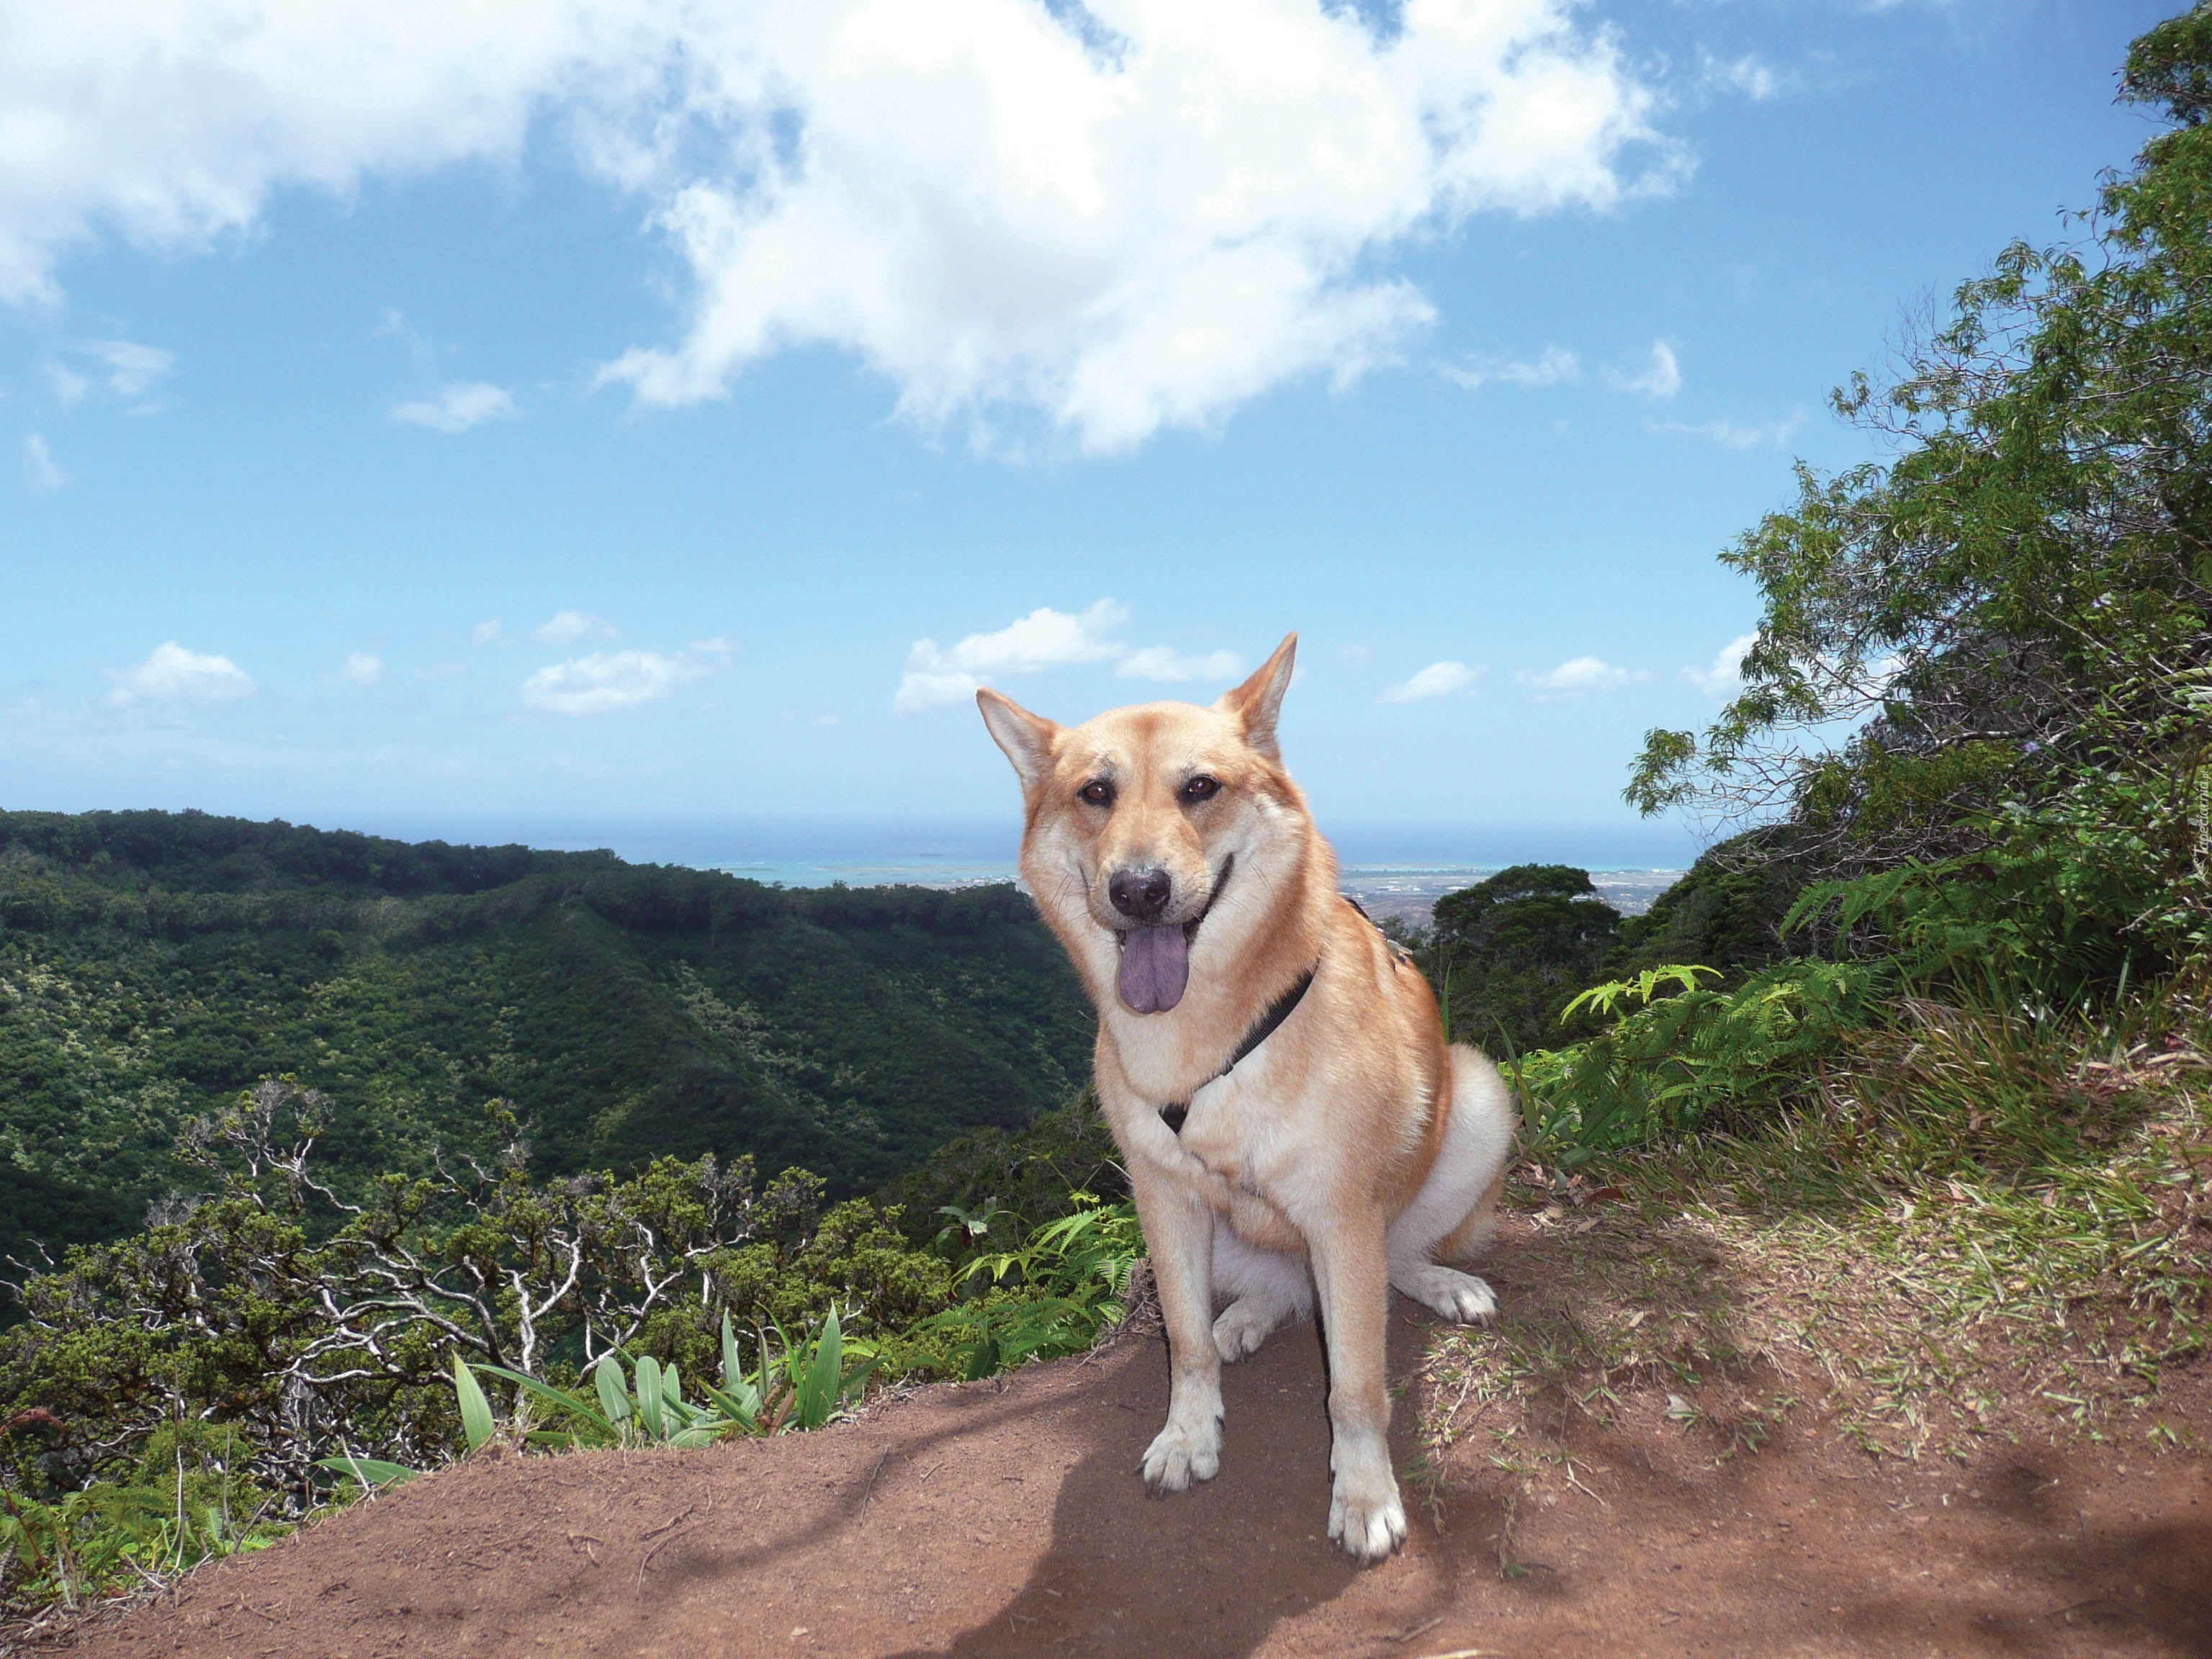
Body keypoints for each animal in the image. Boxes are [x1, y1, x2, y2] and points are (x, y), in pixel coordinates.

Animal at [986, 632, 1521, 1557]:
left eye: (1200, 788)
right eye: (1097, 793)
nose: (1140, 891)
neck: (1205, 1040)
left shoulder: (1342, 1217)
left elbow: (1355, 1388)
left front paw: (1363, 1493)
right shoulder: (1163, 1199)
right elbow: (1184, 1342)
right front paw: (1188, 1432)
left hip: (1474, 1102)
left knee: (1399, 1259)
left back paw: (1439, 1282)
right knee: (1261, 1295)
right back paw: (1245, 1319)